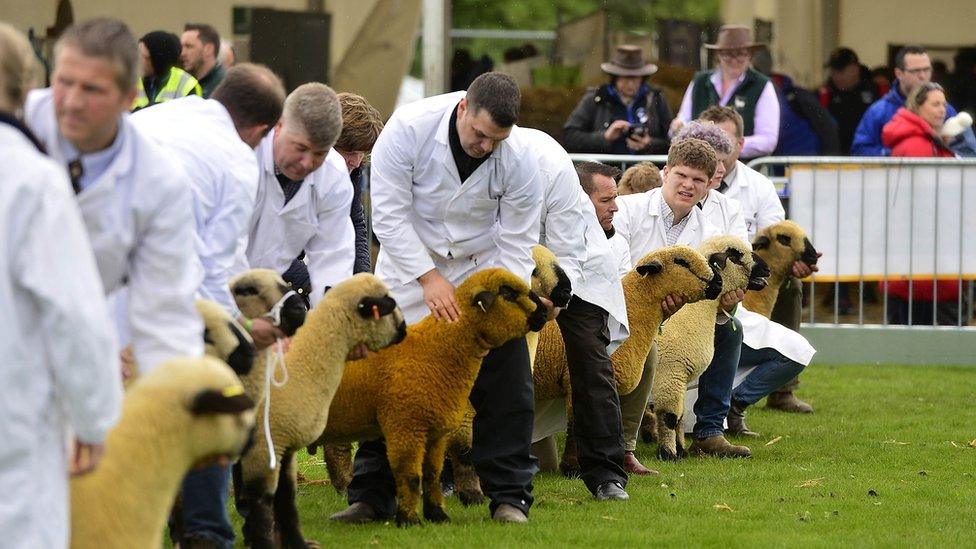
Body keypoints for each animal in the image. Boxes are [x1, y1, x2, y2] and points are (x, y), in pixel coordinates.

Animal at [238, 274, 406, 548]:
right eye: (387, 305)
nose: (405, 330)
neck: (302, 366)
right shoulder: (264, 447)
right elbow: (262, 503)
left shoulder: (285, 447)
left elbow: (286, 500)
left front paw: (297, 543)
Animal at [652, 235, 772, 458]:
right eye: (736, 254)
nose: (767, 269)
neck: (697, 311)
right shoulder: (670, 375)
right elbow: (670, 417)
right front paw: (668, 453)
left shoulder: (679, 380)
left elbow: (681, 417)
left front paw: (680, 450)